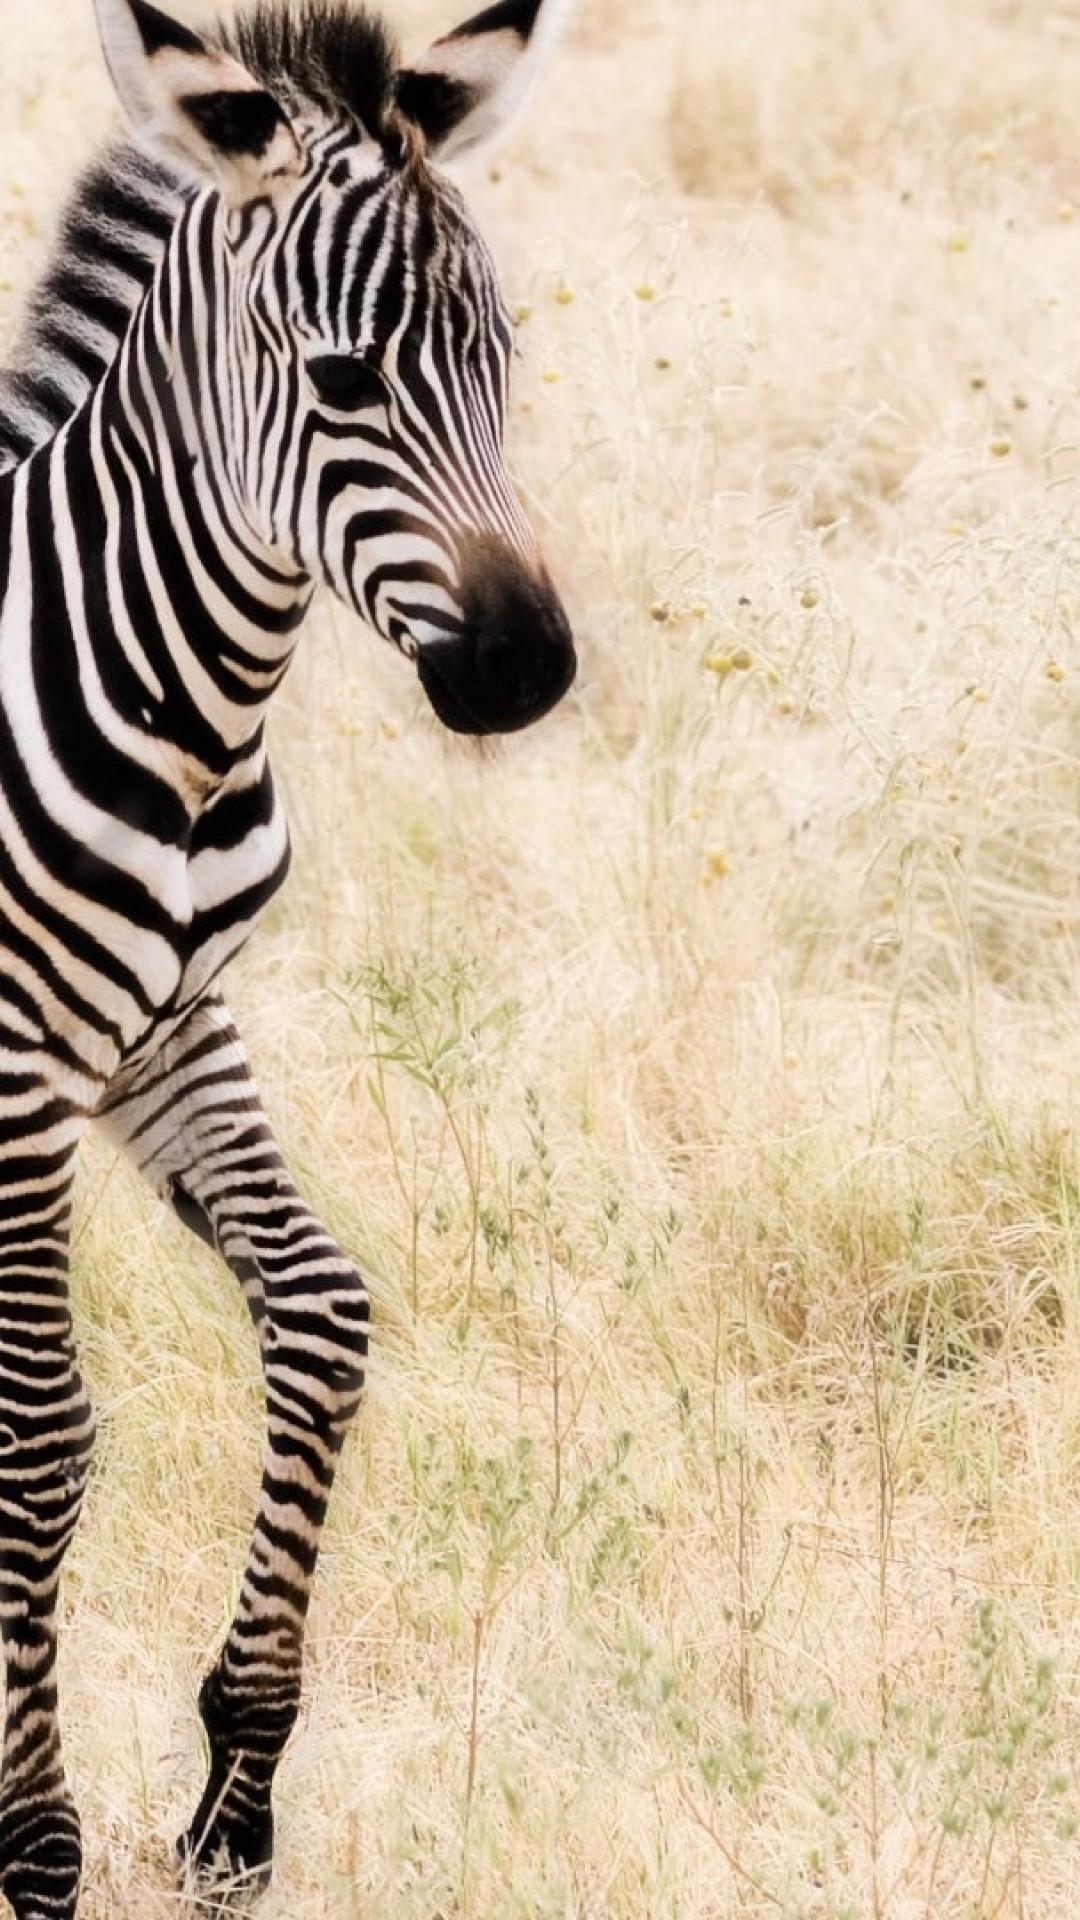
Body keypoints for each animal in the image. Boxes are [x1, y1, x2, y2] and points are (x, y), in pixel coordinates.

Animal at [0, 0, 576, 1910]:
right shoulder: (21, 1068)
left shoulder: (169, 1026)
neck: (179, 721)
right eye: (340, 385)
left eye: (503, 365)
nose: (529, 673)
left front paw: (235, 1792)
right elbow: (44, 1435)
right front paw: (36, 1842)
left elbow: (323, 1317)